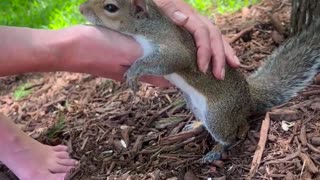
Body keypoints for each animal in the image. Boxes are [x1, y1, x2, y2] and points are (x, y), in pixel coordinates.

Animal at [79, 0, 320, 162]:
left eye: (111, 7)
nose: (80, 9)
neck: (149, 26)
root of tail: (248, 101)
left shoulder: (174, 49)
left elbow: (168, 60)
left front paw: (134, 71)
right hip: (193, 104)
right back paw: (196, 124)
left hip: (218, 115)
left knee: (232, 134)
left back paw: (217, 151)